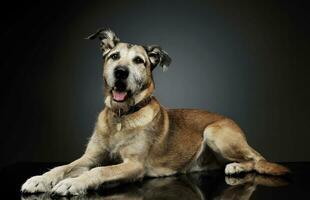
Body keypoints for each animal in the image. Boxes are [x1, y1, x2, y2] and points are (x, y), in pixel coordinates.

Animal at [20, 28, 290, 195]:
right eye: (114, 56)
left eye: (139, 61)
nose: (121, 72)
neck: (122, 117)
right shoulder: (90, 157)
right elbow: (64, 166)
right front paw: (41, 179)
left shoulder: (133, 165)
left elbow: (100, 170)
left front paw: (73, 184)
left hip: (215, 133)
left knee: (257, 158)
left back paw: (237, 168)